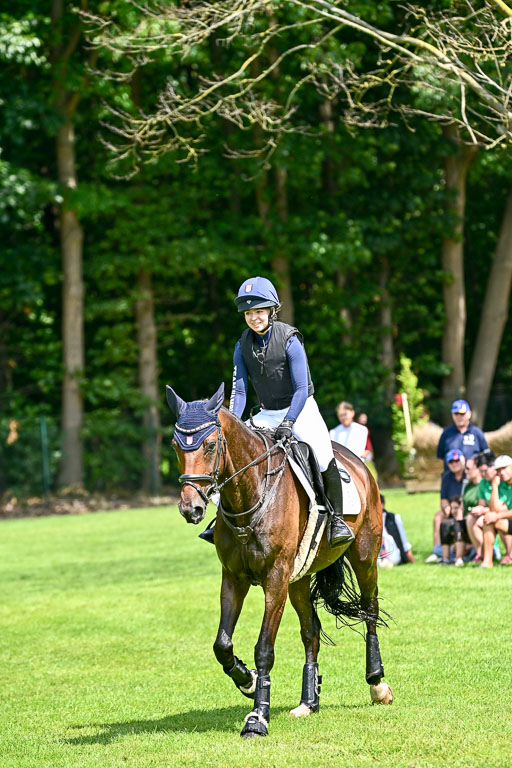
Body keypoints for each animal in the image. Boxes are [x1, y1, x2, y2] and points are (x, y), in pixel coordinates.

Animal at [167, 382, 393, 738]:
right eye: (176, 445)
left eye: (211, 445)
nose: (192, 508)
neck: (250, 492)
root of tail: (358, 463)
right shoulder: (233, 578)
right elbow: (222, 644)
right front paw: (246, 680)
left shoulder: (275, 580)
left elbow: (264, 648)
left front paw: (257, 717)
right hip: (299, 579)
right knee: (311, 631)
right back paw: (308, 702)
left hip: (365, 557)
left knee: (370, 610)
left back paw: (377, 683)